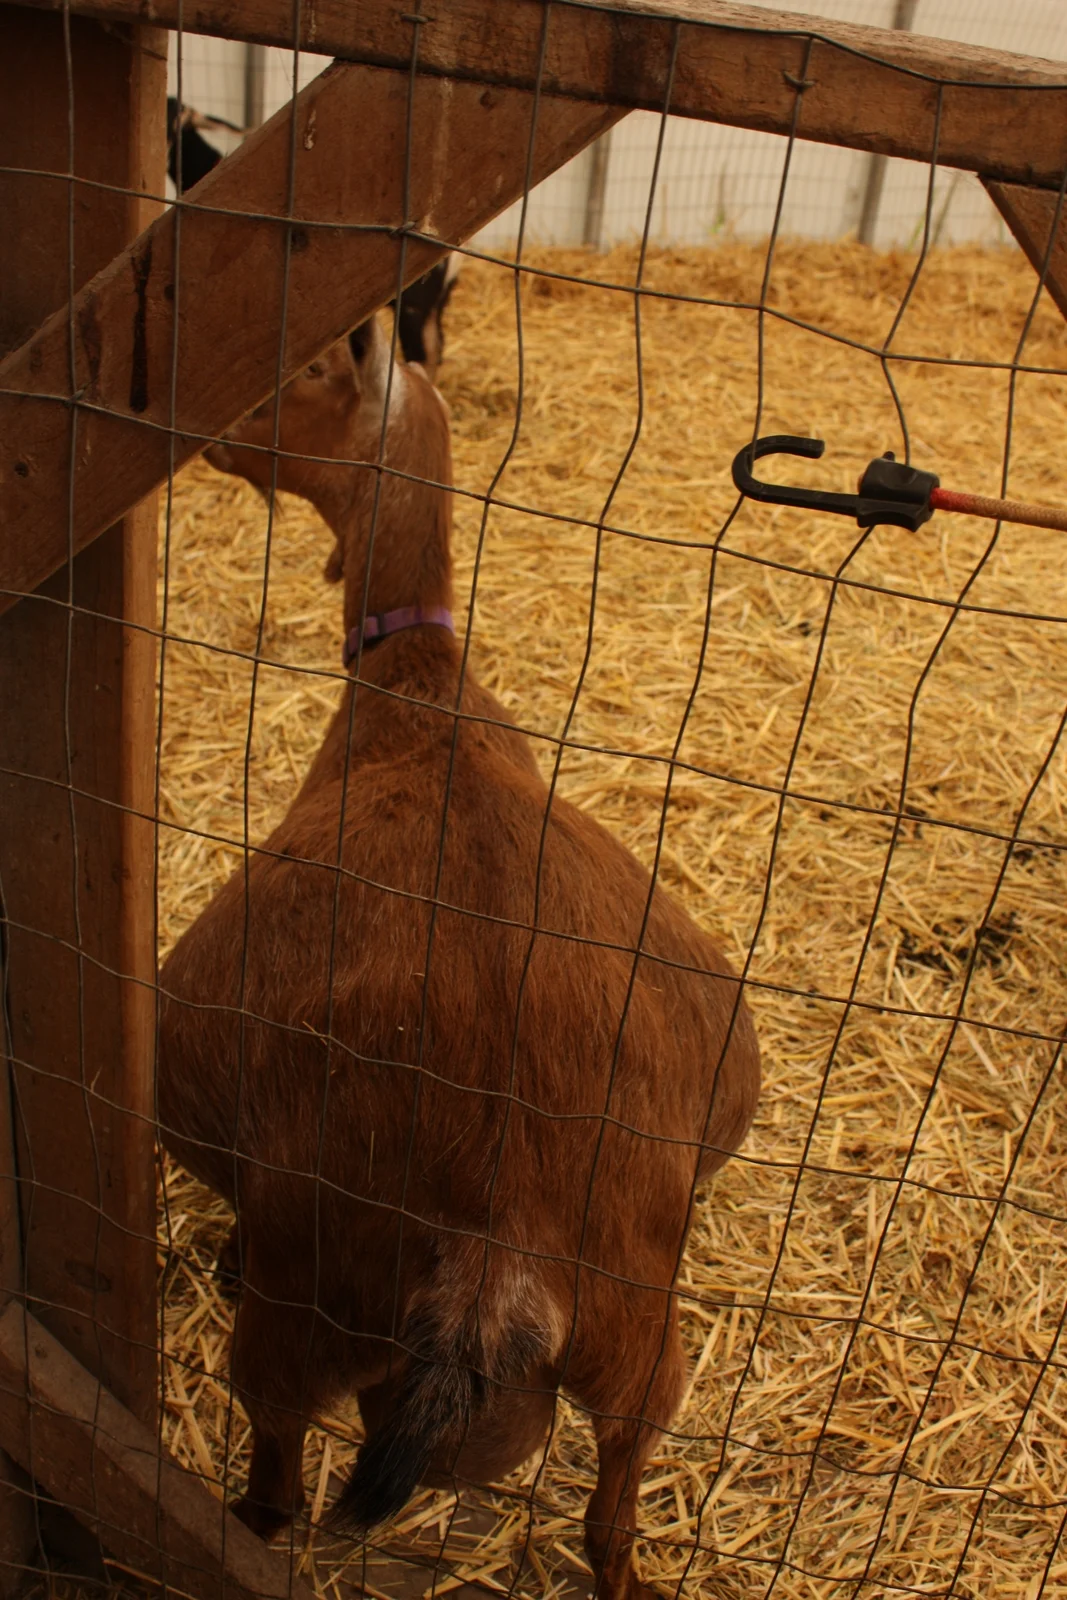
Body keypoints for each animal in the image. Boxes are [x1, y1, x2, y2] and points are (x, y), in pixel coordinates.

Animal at [157, 317, 761, 1600]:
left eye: (309, 374)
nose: (216, 432)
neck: (419, 698)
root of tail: (501, 1243)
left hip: (300, 1314)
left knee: (274, 1469)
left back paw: (238, 1513)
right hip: (641, 1341)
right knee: (612, 1514)